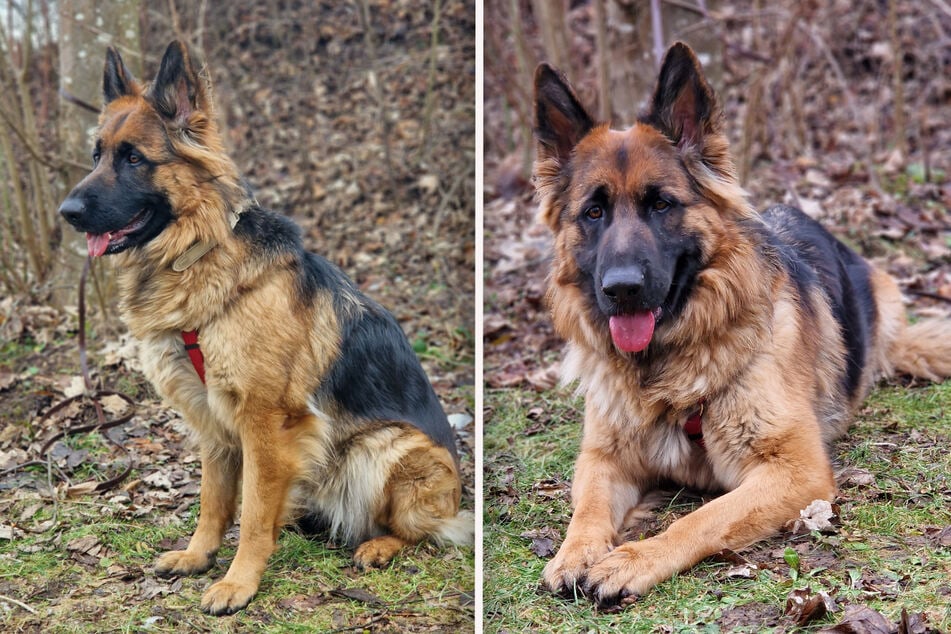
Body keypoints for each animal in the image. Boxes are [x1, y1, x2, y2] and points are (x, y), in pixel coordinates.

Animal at [58, 39, 472, 612]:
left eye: (134, 158)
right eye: (97, 155)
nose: (67, 211)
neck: (199, 250)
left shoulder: (267, 422)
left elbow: (252, 512)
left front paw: (238, 582)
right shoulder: (212, 422)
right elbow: (213, 500)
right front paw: (199, 555)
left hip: (383, 449)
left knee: (423, 530)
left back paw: (379, 546)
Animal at [536, 42, 951, 604]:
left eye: (661, 203)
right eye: (593, 213)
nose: (621, 289)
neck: (668, 371)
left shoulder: (795, 470)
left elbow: (701, 519)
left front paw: (633, 560)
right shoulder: (603, 459)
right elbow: (587, 509)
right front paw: (573, 553)